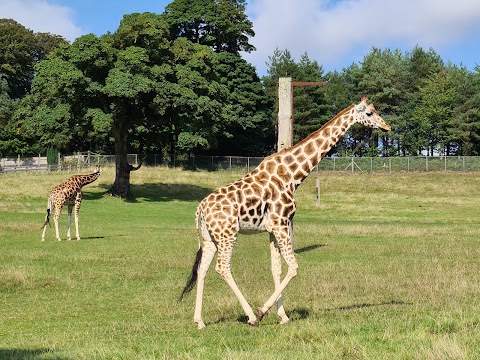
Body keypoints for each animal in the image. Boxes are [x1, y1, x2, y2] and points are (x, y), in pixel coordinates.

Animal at [180, 97, 390, 328]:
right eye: (369, 113)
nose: (387, 127)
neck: (292, 176)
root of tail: (200, 209)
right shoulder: (281, 224)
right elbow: (294, 267)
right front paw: (263, 311)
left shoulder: (273, 229)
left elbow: (276, 269)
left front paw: (282, 315)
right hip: (228, 234)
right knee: (223, 267)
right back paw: (251, 316)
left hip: (210, 237)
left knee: (202, 269)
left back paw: (199, 321)